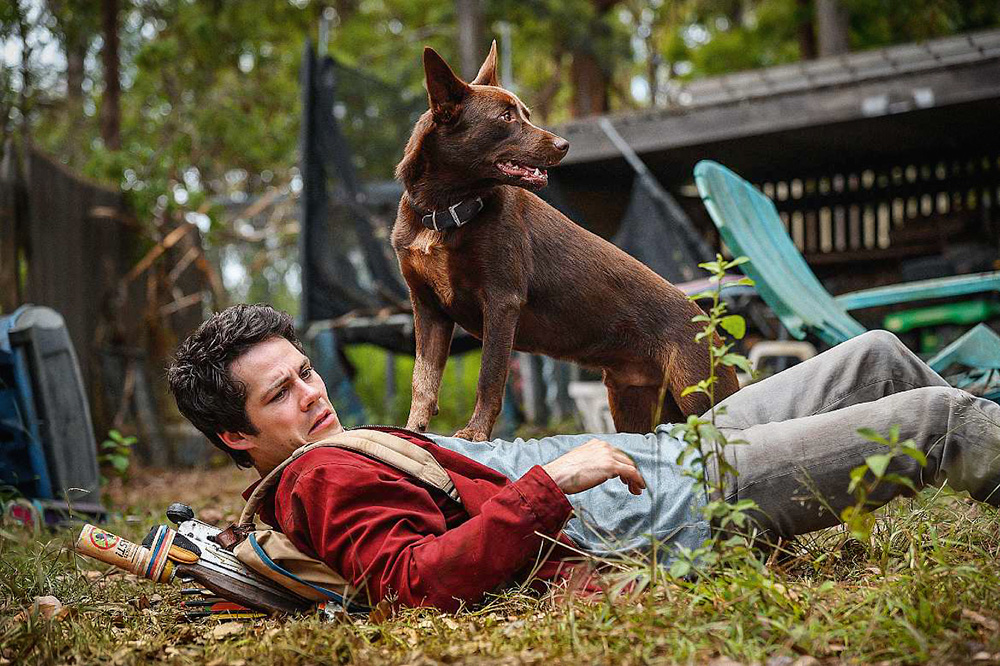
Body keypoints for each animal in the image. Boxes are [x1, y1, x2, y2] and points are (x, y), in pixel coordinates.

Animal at [390, 39, 744, 438]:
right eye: (506, 118)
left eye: (526, 114)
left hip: (702, 395)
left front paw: (474, 434)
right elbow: (423, 380)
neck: (445, 212)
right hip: (635, 407)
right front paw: (411, 430)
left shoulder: (501, 302)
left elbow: (489, 379)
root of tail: (709, 325)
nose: (564, 145)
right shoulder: (428, 308)